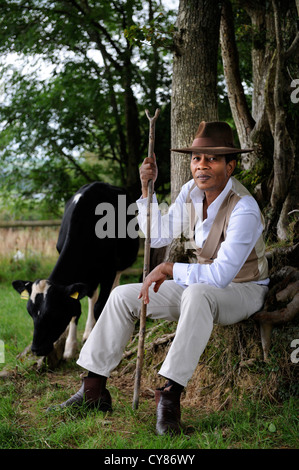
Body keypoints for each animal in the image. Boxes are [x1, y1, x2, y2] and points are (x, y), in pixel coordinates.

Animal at [12, 182, 141, 358]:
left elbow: (100, 306)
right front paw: (70, 347)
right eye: (30, 312)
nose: (37, 349)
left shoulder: (108, 271)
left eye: (53, 313)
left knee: (112, 289)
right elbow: (76, 307)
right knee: (92, 295)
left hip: (120, 264)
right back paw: (87, 331)